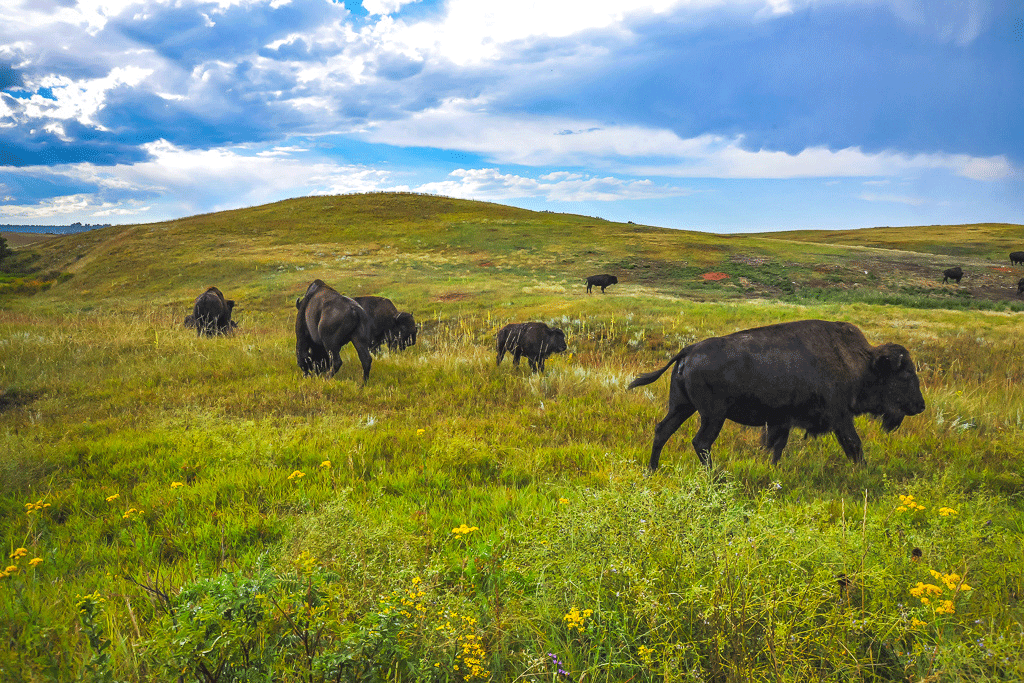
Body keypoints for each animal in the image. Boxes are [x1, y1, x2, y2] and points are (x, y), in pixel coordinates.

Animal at [626, 319, 925, 471]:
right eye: (904, 375)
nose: (920, 406)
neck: (858, 361)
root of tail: (688, 350)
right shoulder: (841, 417)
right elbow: (854, 445)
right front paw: (863, 472)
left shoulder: (782, 420)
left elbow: (776, 447)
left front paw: (773, 470)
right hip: (713, 415)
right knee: (701, 442)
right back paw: (715, 475)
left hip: (682, 407)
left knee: (663, 431)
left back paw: (653, 468)